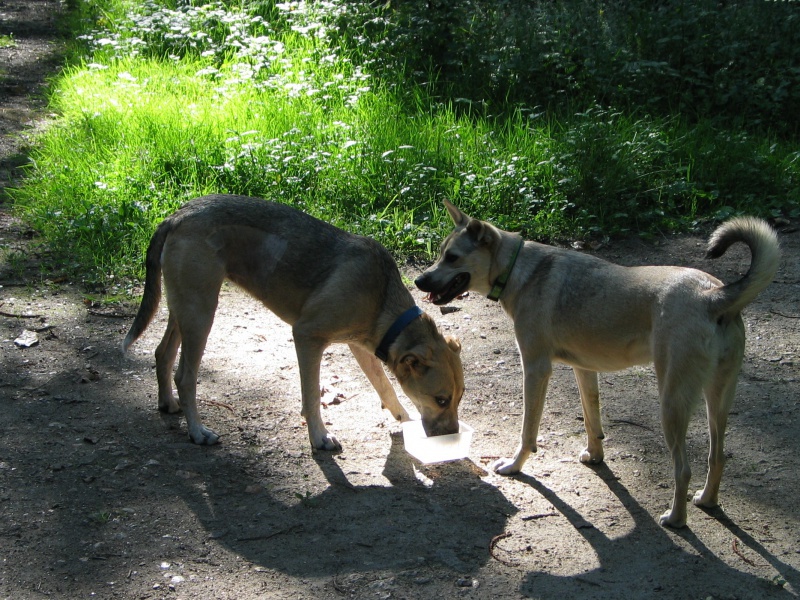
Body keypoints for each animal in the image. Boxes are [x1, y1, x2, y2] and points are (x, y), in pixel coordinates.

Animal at [122, 195, 466, 452]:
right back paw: (197, 431)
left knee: (162, 353)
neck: (382, 299)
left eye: (460, 397)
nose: (452, 439)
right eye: (441, 399)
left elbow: (386, 387)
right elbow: (312, 396)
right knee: (185, 376)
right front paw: (319, 438)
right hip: (200, 313)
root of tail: (177, 216)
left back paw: (168, 403)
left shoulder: (361, 347)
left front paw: (403, 419)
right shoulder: (307, 338)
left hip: (184, 307)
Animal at [416, 200, 780, 524]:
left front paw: (514, 466)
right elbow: (593, 421)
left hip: (672, 404)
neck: (519, 268)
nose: (419, 281)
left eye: (452, 257)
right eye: (439, 253)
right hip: (717, 401)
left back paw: (676, 518)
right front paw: (595, 456)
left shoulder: (535, 369)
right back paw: (706, 500)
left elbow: (528, 431)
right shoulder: (584, 370)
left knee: (684, 469)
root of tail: (712, 295)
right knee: (717, 457)